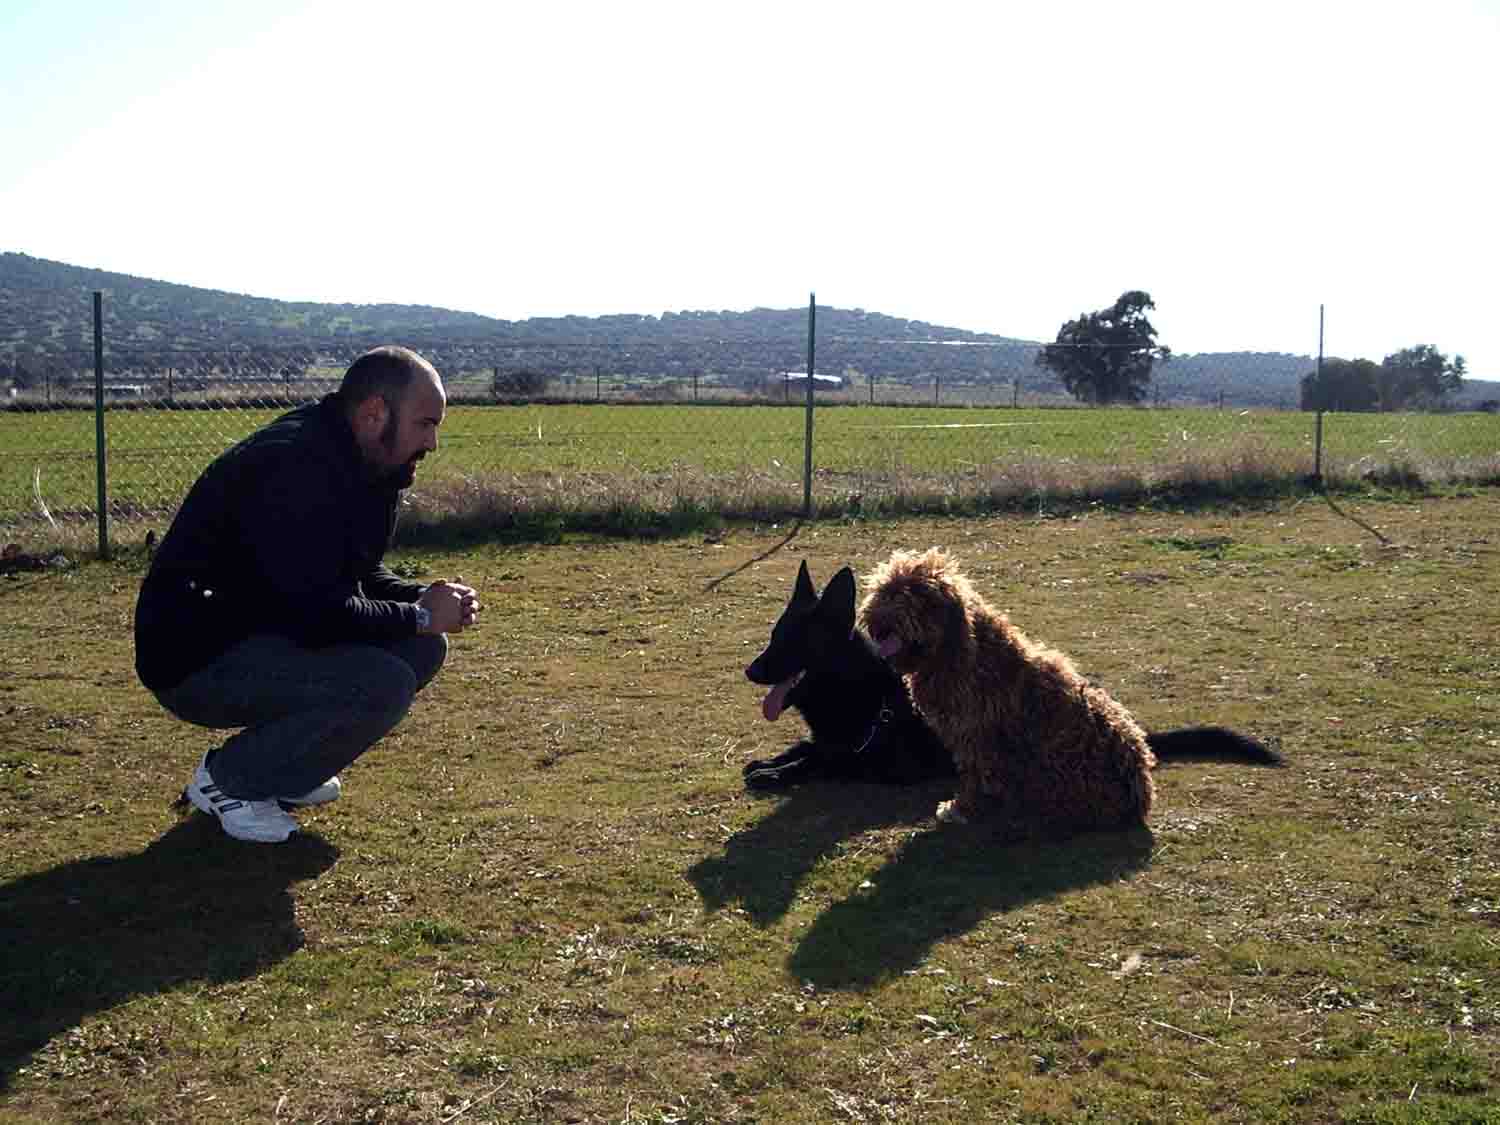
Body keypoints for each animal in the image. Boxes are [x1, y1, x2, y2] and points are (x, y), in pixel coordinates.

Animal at [744, 561, 954, 786]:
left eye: (797, 640)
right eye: (774, 636)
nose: (749, 672)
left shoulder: (877, 763)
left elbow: (818, 759)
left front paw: (774, 772)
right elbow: (806, 745)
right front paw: (769, 762)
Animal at [858, 546, 1278, 840]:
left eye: (915, 595)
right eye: (885, 590)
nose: (878, 621)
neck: (960, 649)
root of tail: (1140, 791)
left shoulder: (979, 739)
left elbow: (976, 779)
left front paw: (964, 808)